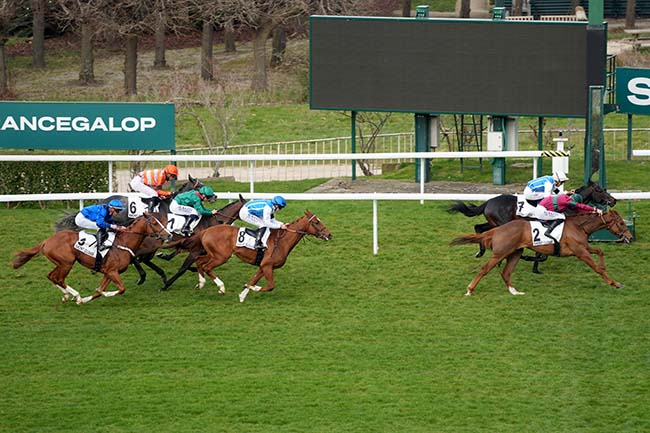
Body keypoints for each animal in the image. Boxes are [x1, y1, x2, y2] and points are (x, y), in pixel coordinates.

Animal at [13, 213, 170, 304]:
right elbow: (121, 289)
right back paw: (75, 295)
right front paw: (104, 294)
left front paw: (86, 299)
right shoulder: (112, 272)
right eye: (155, 223)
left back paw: (67, 296)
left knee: (51, 276)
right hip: (67, 263)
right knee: (58, 278)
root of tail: (47, 241)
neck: (124, 243)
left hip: (61, 263)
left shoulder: (108, 272)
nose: (168, 235)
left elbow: (99, 291)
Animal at [186, 211, 330, 302]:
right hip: (221, 257)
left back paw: (201, 283)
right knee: (207, 267)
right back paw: (221, 288)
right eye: (317, 222)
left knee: (199, 261)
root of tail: (206, 231)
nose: (329, 234)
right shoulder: (267, 266)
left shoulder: (263, 266)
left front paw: (242, 295)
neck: (281, 242)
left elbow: (253, 279)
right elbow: (270, 286)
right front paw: (250, 288)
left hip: (213, 254)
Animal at [448, 210, 632, 296]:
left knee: (505, 272)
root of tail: (497, 229)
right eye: (622, 223)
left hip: (515, 253)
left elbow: (600, 251)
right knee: (484, 269)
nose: (629, 237)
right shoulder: (580, 252)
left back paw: (514, 291)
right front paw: (615, 283)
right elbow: (597, 268)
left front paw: (607, 270)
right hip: (500, 254)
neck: (579, 226)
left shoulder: (582, 248)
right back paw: (470, 290)